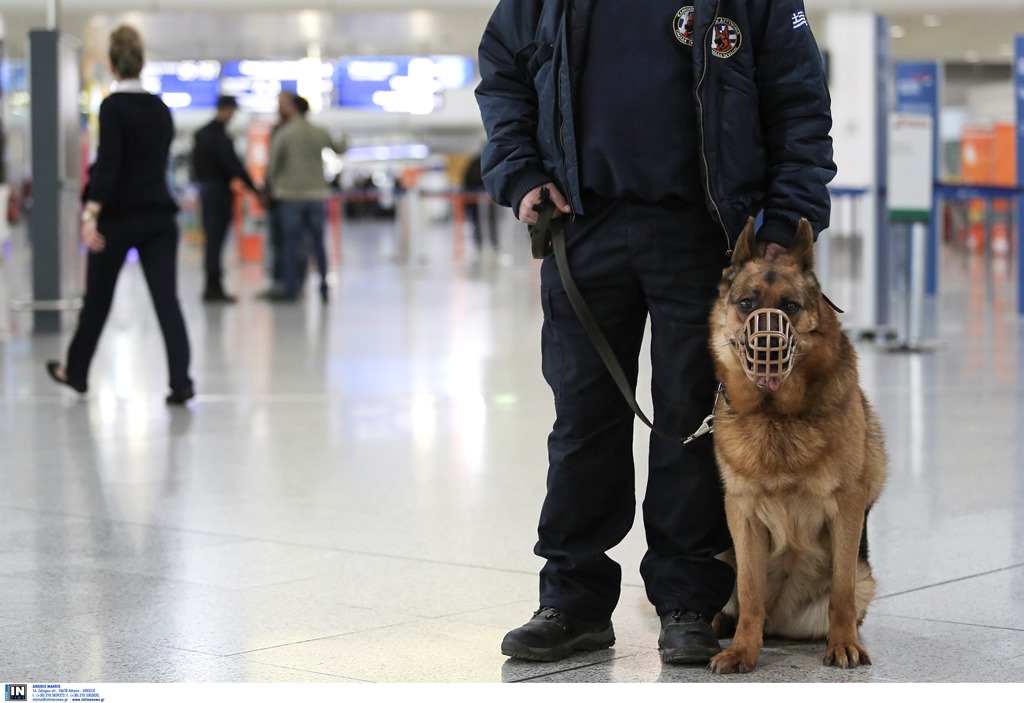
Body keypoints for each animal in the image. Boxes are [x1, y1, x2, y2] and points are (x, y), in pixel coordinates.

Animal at [708, 216, 884, 675]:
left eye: (789, 307)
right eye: (747, 303)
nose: (767, 344)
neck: (777, 418)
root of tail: (781, 616)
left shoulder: (846, 507)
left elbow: (840, 590)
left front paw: (844, 644)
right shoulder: (743, 513)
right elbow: (748, 591)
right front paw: (742, 649)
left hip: (863, 579)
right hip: (723, 554)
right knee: (743, 603)